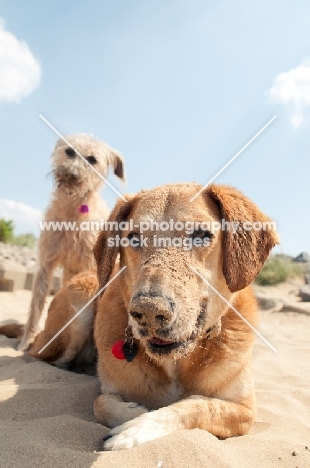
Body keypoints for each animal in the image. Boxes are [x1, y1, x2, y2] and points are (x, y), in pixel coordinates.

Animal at [0, 183, 280, 450]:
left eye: (201, 235)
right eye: (134, 238)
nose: (148, 311)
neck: (175, 362)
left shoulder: (244, 411)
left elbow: (197, 404)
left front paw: (138, 428)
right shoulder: (110, 390)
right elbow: (101, 403)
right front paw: (134, 414)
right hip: (79, 308)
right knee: (48, 358)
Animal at [17, 133, 124, 352]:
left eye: (92, 159)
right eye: (69, 151)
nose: (71, 174)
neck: (72, 210)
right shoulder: (45, 265)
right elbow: (35, 307)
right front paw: (25, 342)